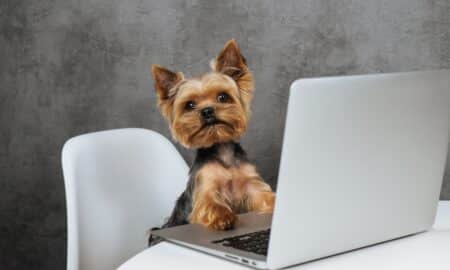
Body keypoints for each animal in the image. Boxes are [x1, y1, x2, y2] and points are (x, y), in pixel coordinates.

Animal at [149, 39, 274, 247]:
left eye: (222, 97)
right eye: (190, 105)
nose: (207, 111)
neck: (221, 149)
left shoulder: (251, 185)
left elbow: (265, 195)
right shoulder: (205, 186)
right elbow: (211, 203)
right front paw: (224, 217)